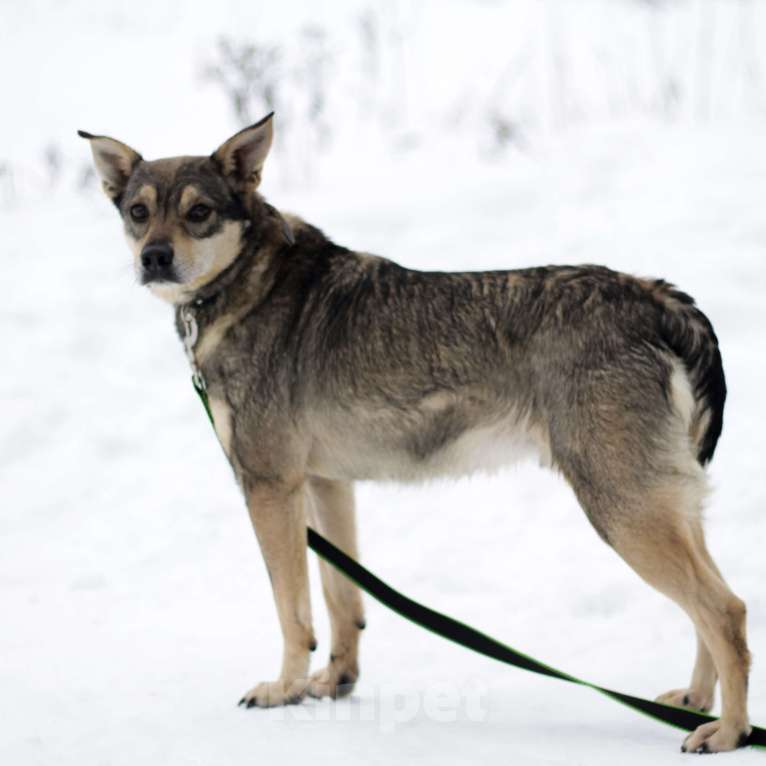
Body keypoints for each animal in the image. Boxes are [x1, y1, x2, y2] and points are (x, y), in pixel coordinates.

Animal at [81, 114, 752, 756]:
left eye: (199, 212)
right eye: (139, 212)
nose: (154, 257)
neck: (247, 283)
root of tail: (656, 297)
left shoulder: (269, 487)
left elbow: (293, 610)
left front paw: (285, 689)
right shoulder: (325, 484)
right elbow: (342, 603)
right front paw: (334, 683)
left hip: (621, 508)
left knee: (726, 610)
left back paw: (728, 733)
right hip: (664, 505)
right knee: (712, 605)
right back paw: (696, 702)